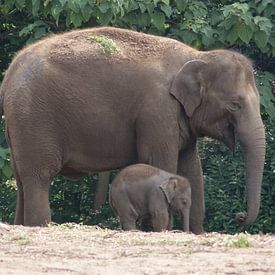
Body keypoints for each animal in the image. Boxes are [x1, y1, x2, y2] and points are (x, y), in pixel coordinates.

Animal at [0, 27, 268, 234]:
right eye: (235, 104)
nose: (239, 216)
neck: (197, 56)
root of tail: (9, 73)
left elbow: (192, 168)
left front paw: (197, 233)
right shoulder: (157, 113)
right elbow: (161, 162)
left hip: (20, 125)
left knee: (22, 179)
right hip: (34, 118)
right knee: (39, 177)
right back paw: (39, 226)